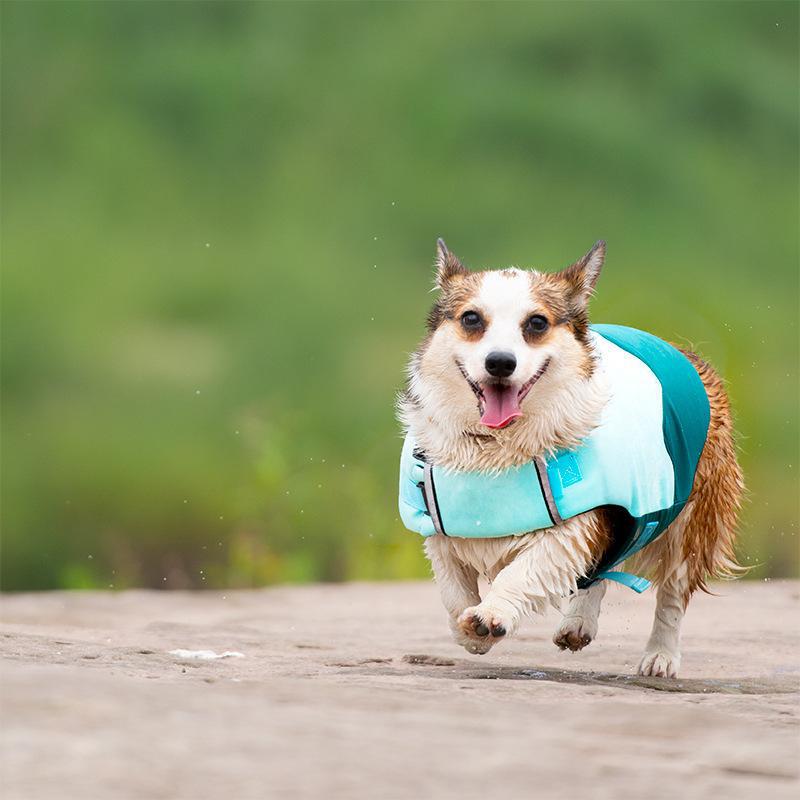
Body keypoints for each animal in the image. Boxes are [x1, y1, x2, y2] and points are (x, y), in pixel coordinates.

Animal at [400, 239, 744, 676]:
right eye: (471, 318)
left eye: (537, 323)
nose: (500, 362)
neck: (496, 446)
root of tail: (687, 355)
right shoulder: (437, 531)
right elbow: (452, 590)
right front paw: (469, 631)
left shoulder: (578, 525)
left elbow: (524, 571)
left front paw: (490, 616)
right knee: (601, 569)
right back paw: (578, 623)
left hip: (693, 519)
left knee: (673, 590)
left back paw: (661, 656)